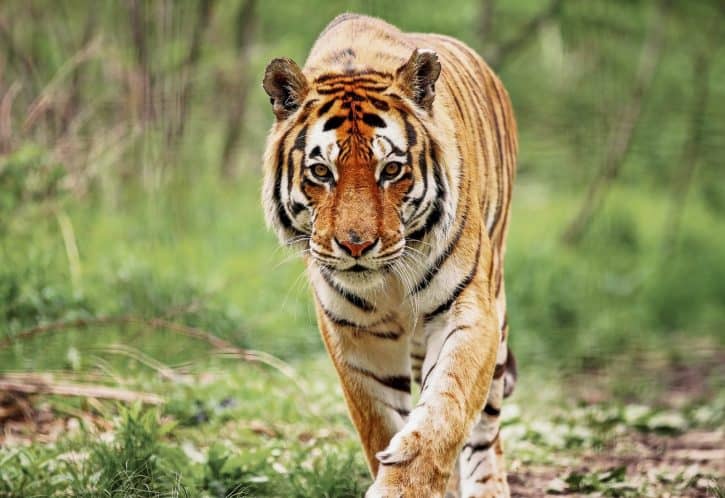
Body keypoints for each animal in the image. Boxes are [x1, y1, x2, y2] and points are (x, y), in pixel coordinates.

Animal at [261, 13, 517, 498]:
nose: (356, 245)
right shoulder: (356, 334)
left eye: (392, 169)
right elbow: (380, 423)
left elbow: (446, 405)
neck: (390, 281)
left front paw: (407, 481)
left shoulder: (467, 309)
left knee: (486, 432)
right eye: (321, 172)